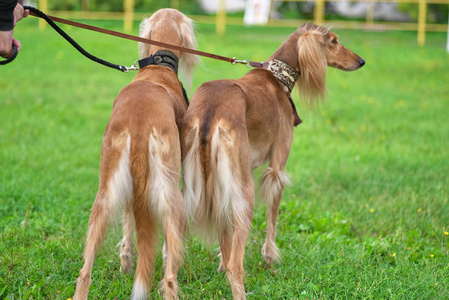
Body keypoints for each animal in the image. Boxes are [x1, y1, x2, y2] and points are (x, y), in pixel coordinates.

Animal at [73, 8, 198, 298]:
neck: (158, 67)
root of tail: (140, 123)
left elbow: (128, 220)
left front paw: (126, 262)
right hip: (171, 191)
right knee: (170, 276)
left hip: (106, 188)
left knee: (84, 272)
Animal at [179, 24, 364, 300]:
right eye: (334, 41)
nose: (361, 61)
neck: (277, 77)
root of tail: (210, 111)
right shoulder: (277, 168)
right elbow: (272, 216)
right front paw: (269, 256)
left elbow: (225, 237)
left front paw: (221, 262)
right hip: (245, 191)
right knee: (236, 264)